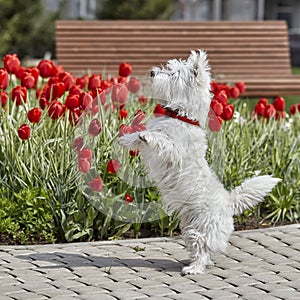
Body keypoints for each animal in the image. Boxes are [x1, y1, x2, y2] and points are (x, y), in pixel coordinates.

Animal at [119, 49, 282, 274]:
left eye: (173, 74)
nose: (152, 72)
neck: (181, 117)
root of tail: (229, 203)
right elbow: (139, 136)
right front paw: (125, 138)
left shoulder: (173, 150)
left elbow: (160, 140)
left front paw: (146, 136)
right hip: (188, 227)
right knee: (203, 250)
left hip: (201, 229)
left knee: (203, 248)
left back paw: (193, 268)